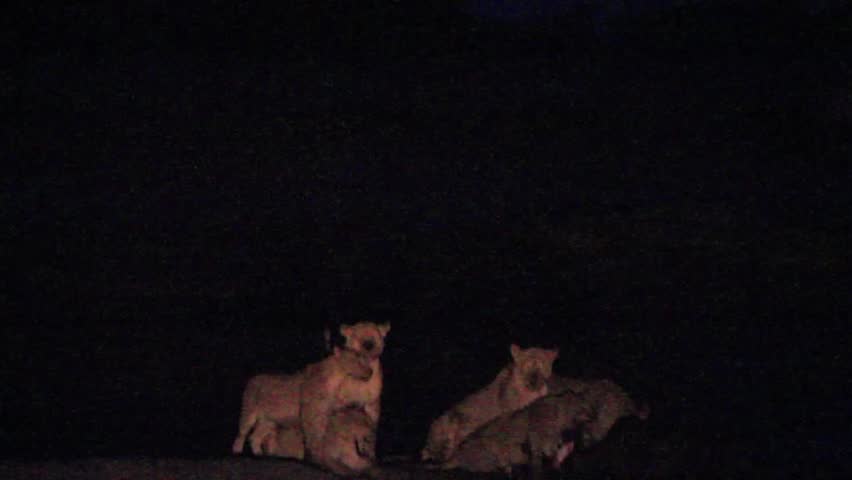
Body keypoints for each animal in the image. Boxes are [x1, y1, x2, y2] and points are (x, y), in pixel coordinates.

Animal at [231, 345, 373, 456]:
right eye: (358, 359)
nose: (371, 372)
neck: (338, 379)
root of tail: (252, 379)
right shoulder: (311, 413)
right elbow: (314, 434)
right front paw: (316, 454)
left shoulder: (323, 412)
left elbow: (321, 432)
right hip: (249, 412)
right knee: (241, 434)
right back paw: (236, 452)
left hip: (269, 421)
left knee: (255, 437)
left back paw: (259, 454)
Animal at [421, 344, 559, 463]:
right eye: (525, 365)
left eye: (541, 365)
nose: (533, 380)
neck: (532, 391)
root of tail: (428, 441)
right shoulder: (509, 414)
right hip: (449, 421)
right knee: (444, 451)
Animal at [442, 388, 592, 477]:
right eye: (584, 407)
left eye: (590, 407)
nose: (593, 415)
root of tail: (457, 454)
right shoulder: (538, 434)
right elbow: (538, 453)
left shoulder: (552, 436)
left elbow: (551, 449)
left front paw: (556, 461)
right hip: (485, 449)